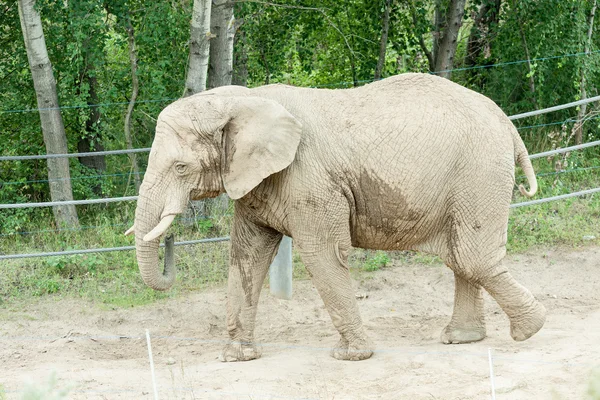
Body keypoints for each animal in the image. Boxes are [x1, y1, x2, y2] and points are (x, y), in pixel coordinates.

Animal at [127, 72, 548, 362]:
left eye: (181, 167)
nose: (170, 236)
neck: (240, 100)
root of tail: (506, 121)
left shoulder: (308, 178)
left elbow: (321, 254)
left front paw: (351, 357)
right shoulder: (255, 184)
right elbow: (247, 257)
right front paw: (236, 358)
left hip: (479, 172)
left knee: (471, 257)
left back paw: (531, 329)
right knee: (462, 257)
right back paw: (462, 338)